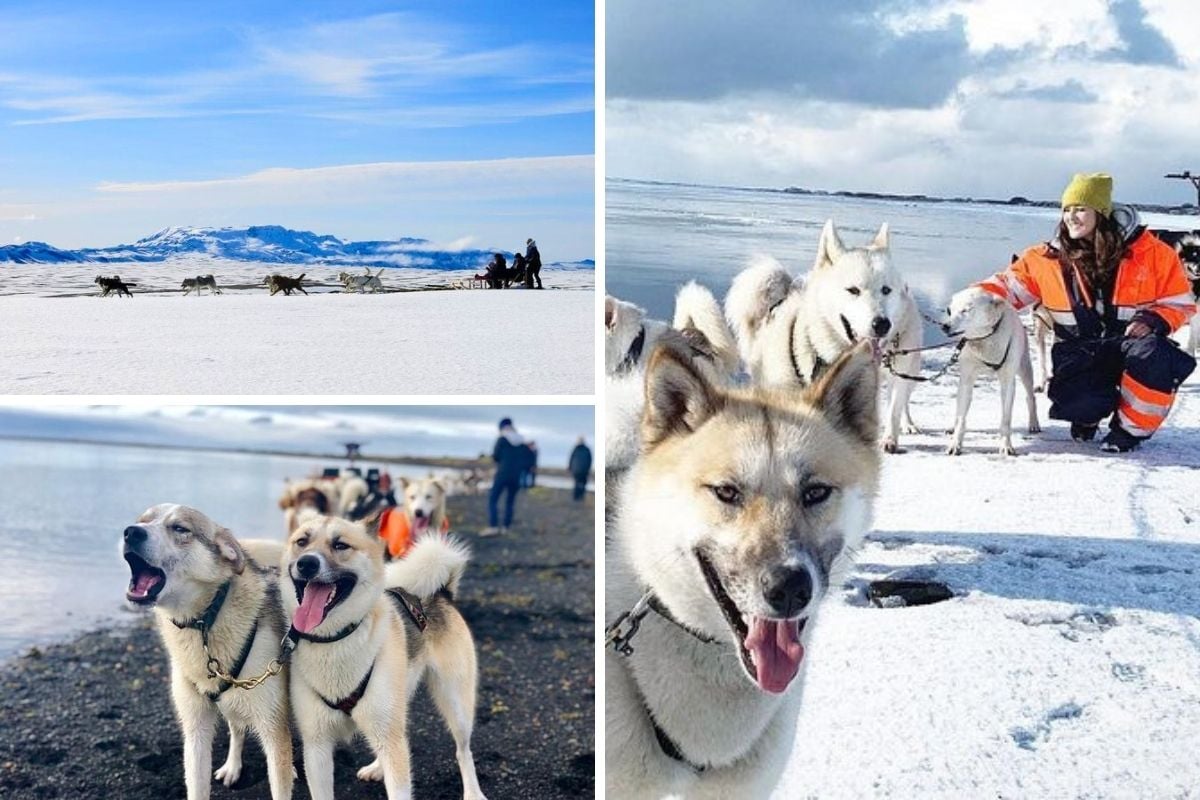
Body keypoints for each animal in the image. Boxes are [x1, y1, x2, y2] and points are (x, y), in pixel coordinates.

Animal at [724, 219, 921, 453]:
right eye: (853, 290)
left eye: (886, 290)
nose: (882, 324)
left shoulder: (898, 376)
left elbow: (893, 411)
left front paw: (890, 439)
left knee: (904, 400)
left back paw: (908, 425)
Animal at [940, 286, 1036, 455]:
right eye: (949, 310)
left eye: (966, 310)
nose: (944, 326)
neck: (985, 340)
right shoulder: (966, 379)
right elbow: (961, 418)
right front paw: (955, 444)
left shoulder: (1008, 381)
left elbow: (1006, 420)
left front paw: (1006, 445)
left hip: (1025, 369)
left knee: (1031, 397)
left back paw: (1034, 423)